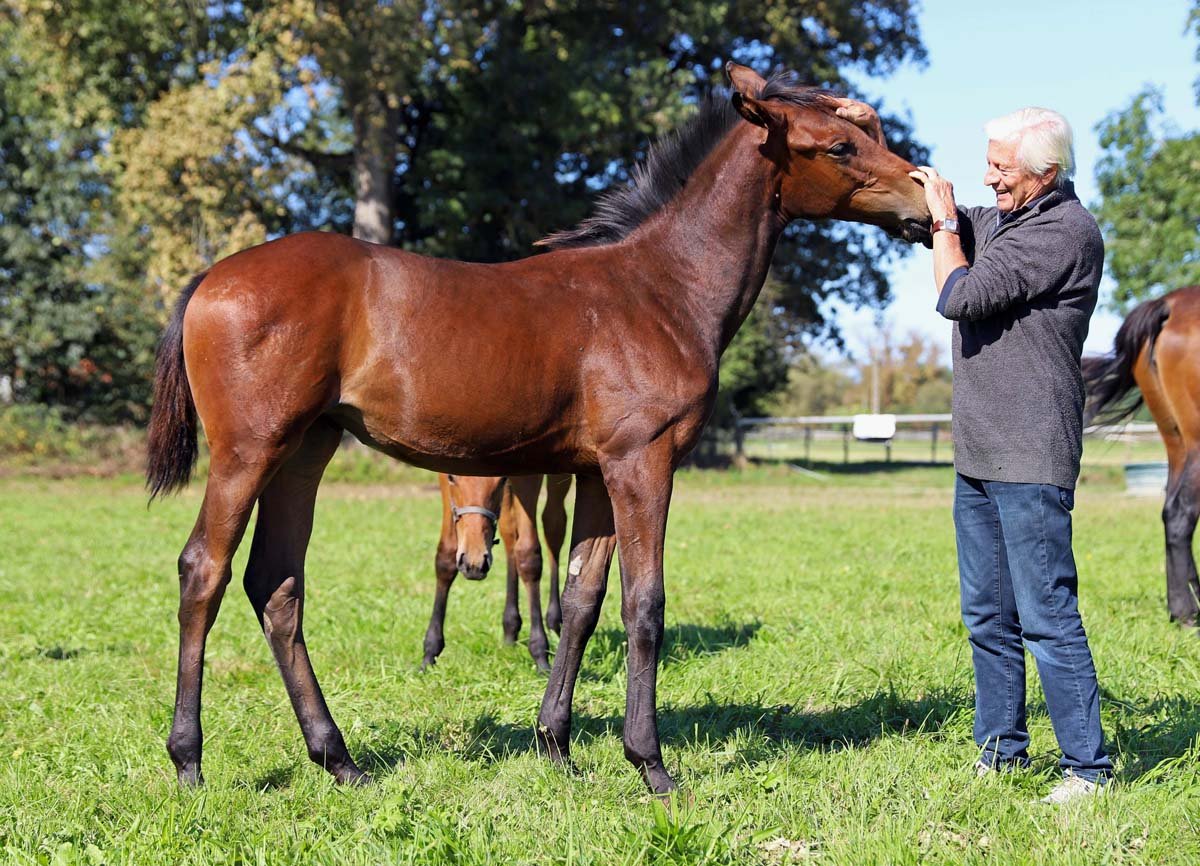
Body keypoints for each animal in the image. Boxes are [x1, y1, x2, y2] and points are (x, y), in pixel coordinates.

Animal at [423, 473, 572, 672]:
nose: (474, 564)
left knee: (553, 525)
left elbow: (528, 556)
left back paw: (555, 622)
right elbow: (445, 557)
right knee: (510, 531)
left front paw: (540, 654)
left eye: (500, 480)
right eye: (452, 478)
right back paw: (510, 629)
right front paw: (429, 653)